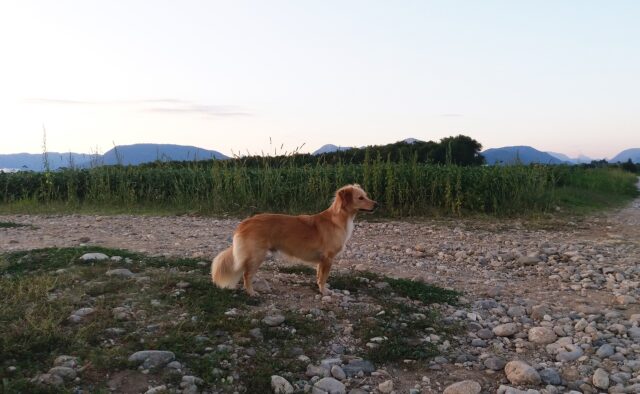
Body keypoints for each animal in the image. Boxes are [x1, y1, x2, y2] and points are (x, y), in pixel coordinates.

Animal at [212, 185, 378, 296]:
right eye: (360, 198)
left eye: (366, 195)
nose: (377, 204)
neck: (339, 219)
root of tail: (245, 222)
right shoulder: (328, 258)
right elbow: (324, 278)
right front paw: (324, 292)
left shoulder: (321, 261)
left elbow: (319, 276)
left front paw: (321, 288)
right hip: (257, 255)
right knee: (246, 275)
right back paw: (251, 292)